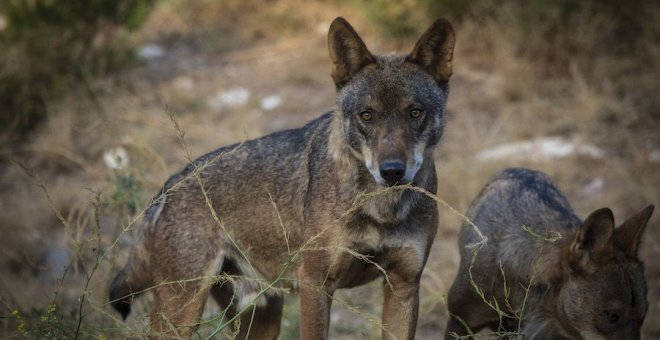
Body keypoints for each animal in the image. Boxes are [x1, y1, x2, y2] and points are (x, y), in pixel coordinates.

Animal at [111, 16, 456, 340]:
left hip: (260, 316)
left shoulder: (404, 285)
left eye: (415, 112)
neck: (382, 209)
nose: (393, 170)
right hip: (183, 313)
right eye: (366, 116)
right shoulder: (315, 283)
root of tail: (170, 185)